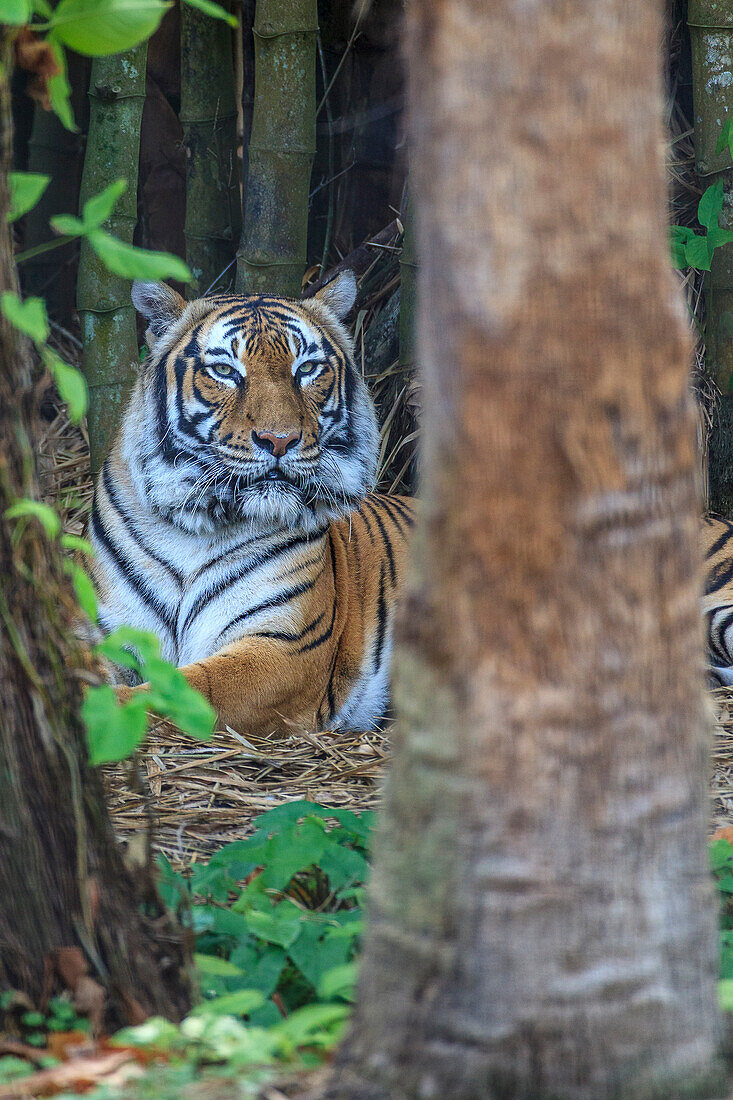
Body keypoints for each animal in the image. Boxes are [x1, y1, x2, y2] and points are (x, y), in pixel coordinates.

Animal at [86, 272, 411, 739]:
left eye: (306, 369)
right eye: (224, 371)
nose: (279, 440)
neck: (193, 527)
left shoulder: (282, 648)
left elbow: (181, 691)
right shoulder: (110, 630)